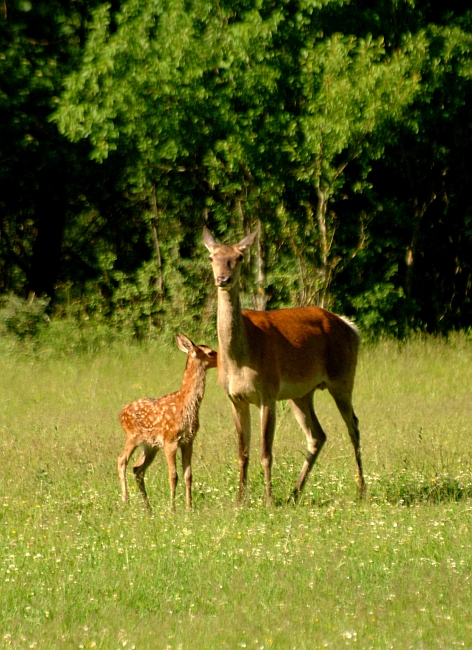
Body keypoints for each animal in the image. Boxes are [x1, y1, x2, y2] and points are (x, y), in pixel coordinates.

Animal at [118, 332, 218, 508]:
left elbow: (188, 475)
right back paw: (126, 501)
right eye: (210, 352)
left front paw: (189, 508)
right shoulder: (170, 440)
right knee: (122, 460)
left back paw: (148, 507)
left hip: (150, 445)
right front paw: (173, 508)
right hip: (132, 436)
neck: (186, 405)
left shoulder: (188, 441)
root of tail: (121, 413)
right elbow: (173, 475)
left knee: (137, 468)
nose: (221, 358)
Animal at [204, 225, 366, 504]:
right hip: (301, 393)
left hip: (343, 378)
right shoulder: (235, 399)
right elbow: (242, 453)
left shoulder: (267, 393)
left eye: (239, 257)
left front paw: (268, 499)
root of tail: (350, 327)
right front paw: (240, 500)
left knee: (353, 426)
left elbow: (266, 452)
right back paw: (295, 492)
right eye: (212, 257)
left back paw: (361, 490)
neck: (240, 358)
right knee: (317, 435)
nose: (223, 279)